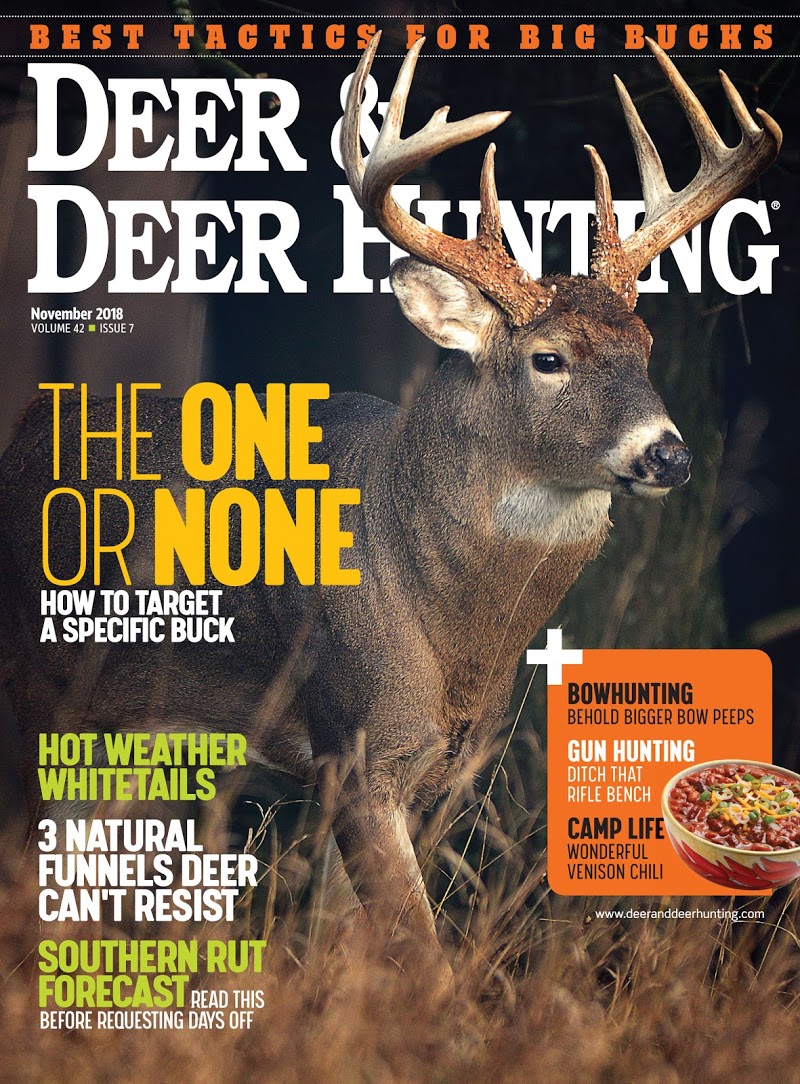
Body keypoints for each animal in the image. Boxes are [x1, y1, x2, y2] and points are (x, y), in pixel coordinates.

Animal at [0, 34, 780, 990]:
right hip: (42, 692)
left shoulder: (434, 769)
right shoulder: (355, 740)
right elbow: (424, 963)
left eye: (644, 346)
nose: (668, 454)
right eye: (548, 358)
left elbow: (347, 946)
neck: (449, 628)